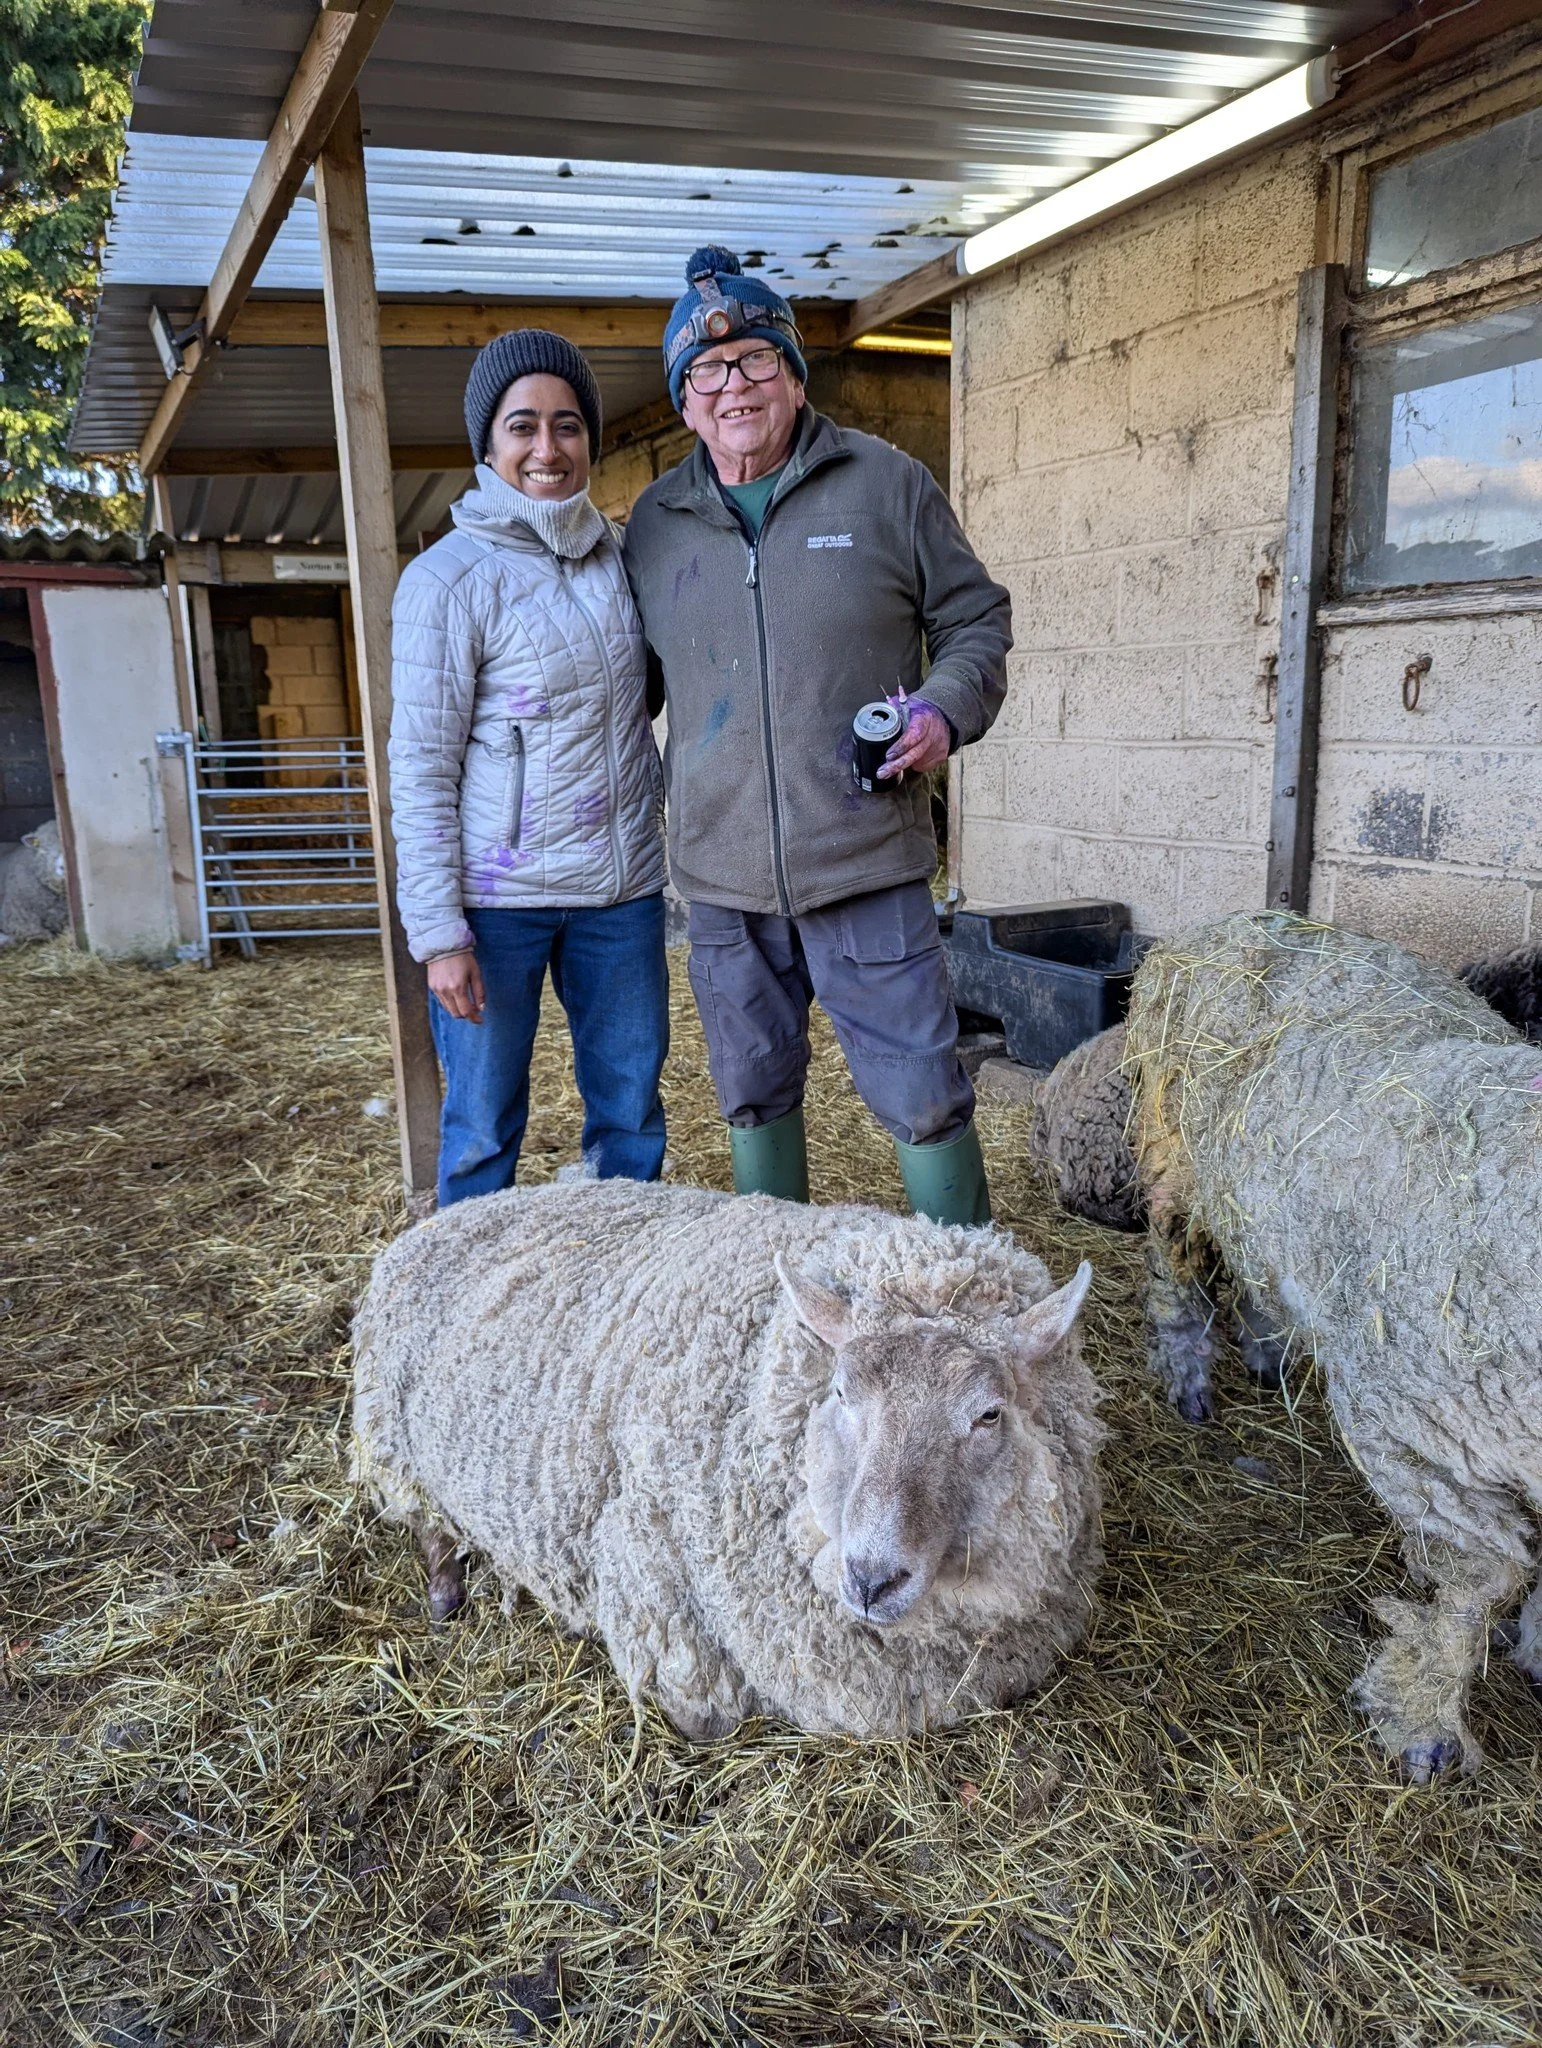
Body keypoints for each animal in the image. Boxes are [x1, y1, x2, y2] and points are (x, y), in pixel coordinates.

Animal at [352, 1179, 1101, 1741]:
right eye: (840, 1393)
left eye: (989, 1414)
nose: (871, 1577)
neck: (750, 1380)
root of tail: (455, 1211)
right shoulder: (645, 1567)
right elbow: (706, 1717)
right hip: (391, 1441)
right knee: (424, 1523)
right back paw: (446, 1588)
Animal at [1124, 911, 1542, 1780]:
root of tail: (1233, 921)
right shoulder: (1410, 1432)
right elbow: (1478, 1585)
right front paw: (1422, 1720)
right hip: (1174, 1154)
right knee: (1175, 1267)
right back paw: (1188, 1375)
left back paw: (1266, 1349)